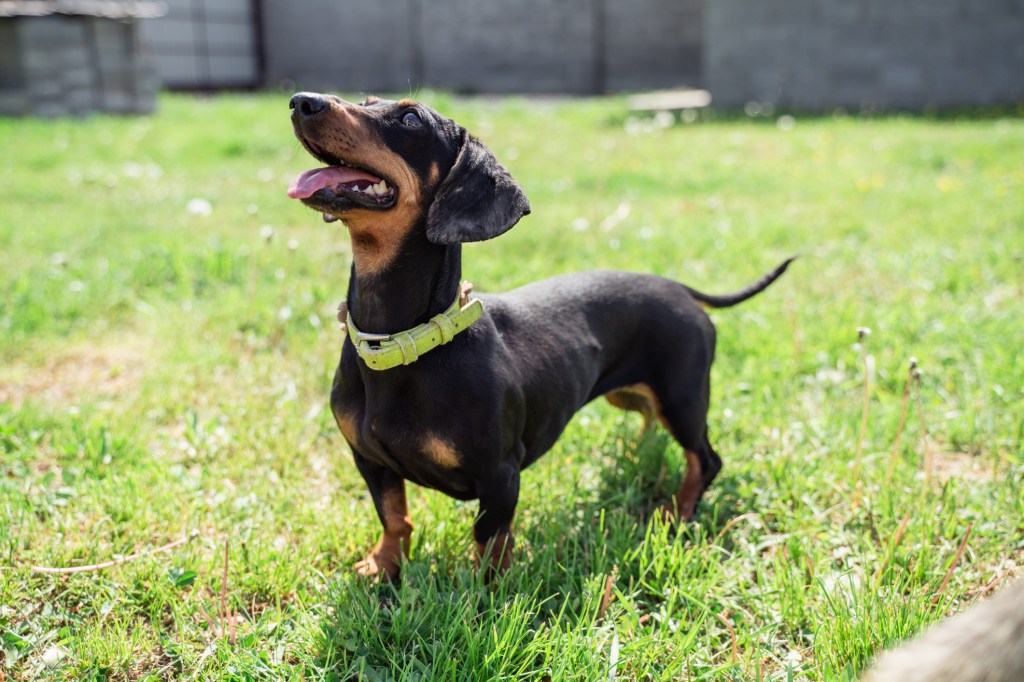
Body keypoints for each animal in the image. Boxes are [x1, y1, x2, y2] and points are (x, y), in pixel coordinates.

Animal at [286, 91, 790, 577]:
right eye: (367, 103)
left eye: (411, 120)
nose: (300, 101)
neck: (404, 343)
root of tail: (680, 289)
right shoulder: (370, 460)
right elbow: (394, 516)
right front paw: (383, 566)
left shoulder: (500, 475)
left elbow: (489, 538)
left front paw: (489, 588)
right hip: (630, 395)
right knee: (650, 418)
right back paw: (639, 455)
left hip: (682, 397)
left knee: (705, 459)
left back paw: (677, 514)